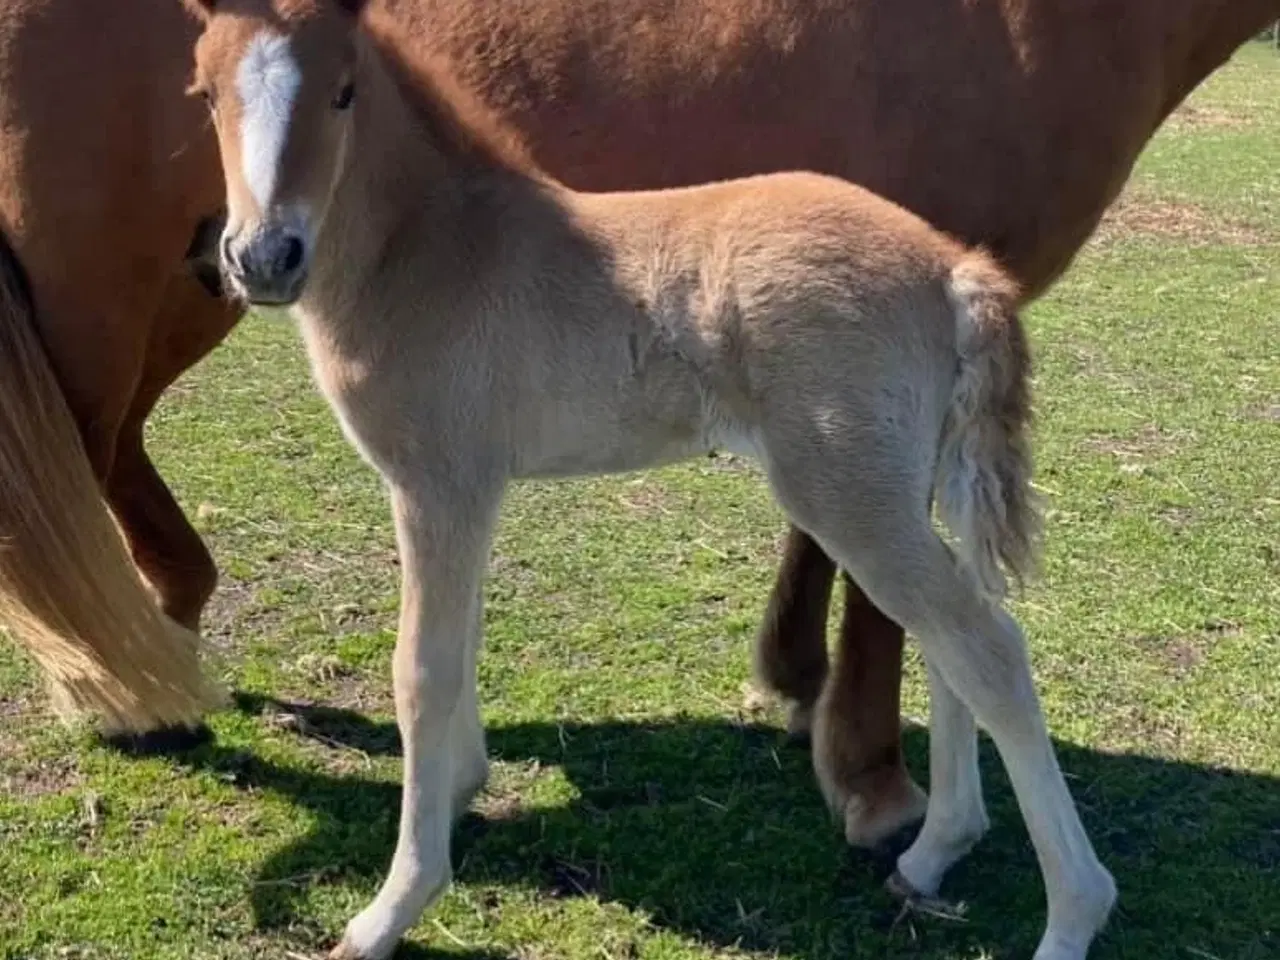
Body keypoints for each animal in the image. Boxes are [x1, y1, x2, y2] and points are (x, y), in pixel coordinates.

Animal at [2, 0, 1280, 849]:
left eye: (344, 90)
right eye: (203, 95)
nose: (268, 254)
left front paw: (844, 754)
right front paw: (853, 760)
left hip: (170, 287)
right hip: (115, 277)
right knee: (83, 449)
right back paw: (131, 678)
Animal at [185, 1, 1116, 960]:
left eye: (342, 92)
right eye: (206, 93)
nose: (263, 259)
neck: (434, 247)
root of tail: (953, 268)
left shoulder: (439, 485)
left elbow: (423, 671)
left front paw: (392, 907)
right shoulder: (471, 495)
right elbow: (464, 639)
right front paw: (463, 787)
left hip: (849, 495)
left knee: (987, 647)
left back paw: (1070, 916)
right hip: (898, 486)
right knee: (947, 643)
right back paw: (933, 854)